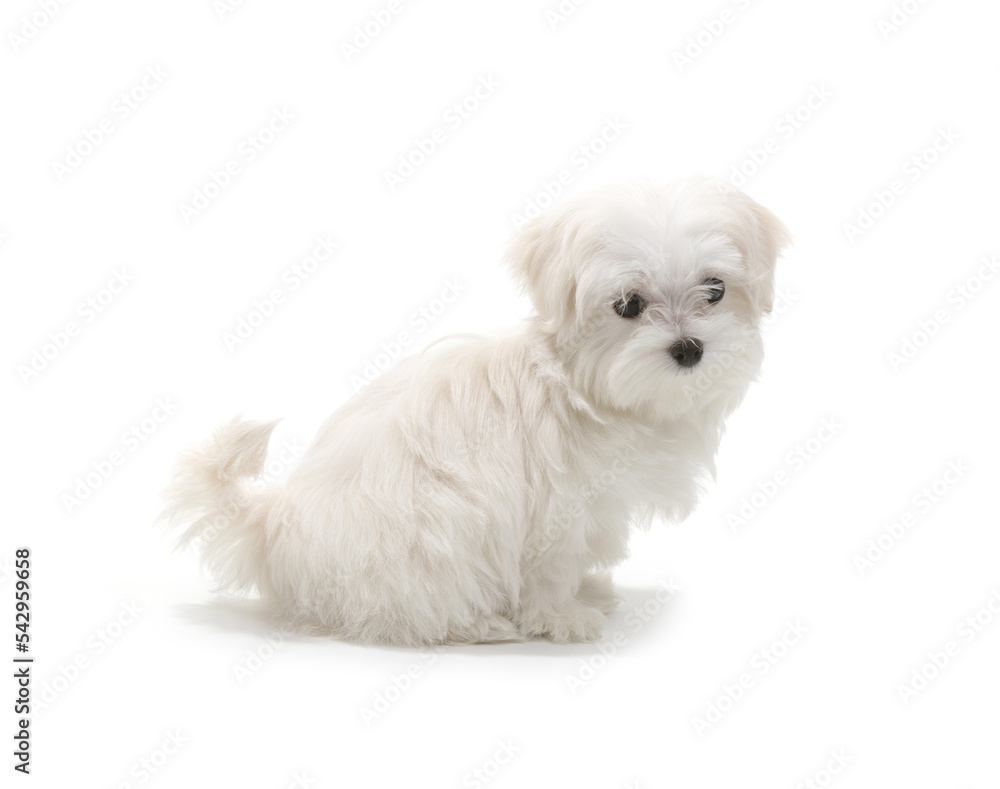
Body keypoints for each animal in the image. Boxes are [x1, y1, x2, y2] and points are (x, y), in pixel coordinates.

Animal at [162, 175, 788, 644]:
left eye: (714, 289)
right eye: (628, 305)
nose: (689, 348)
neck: (582, 389)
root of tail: (275, 529)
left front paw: (585, 591)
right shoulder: (555, 509)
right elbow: (551, 570)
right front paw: (561, 617)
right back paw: (480, 625)